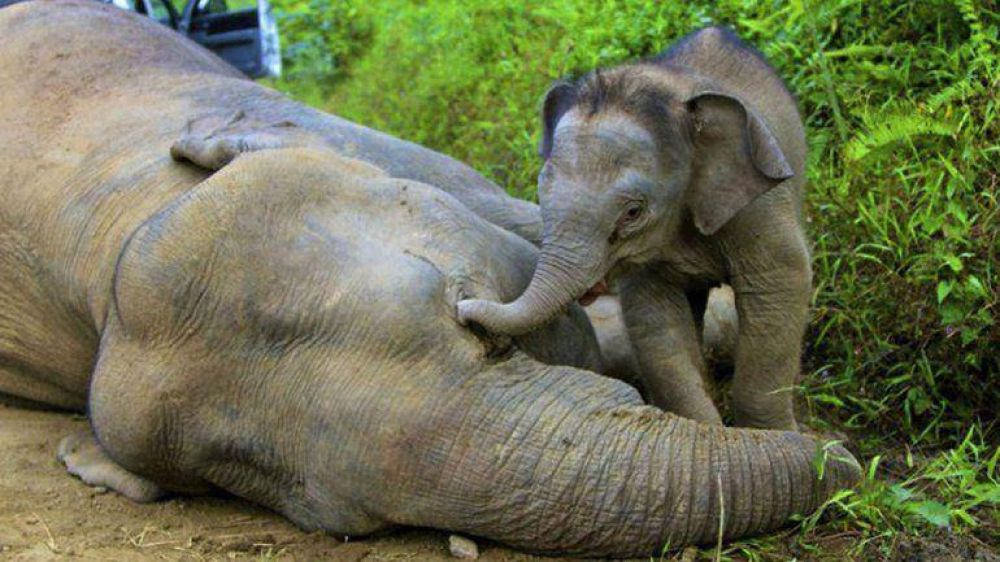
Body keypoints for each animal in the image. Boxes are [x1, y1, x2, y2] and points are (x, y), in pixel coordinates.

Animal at [458, 27, 811, 431]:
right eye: (540, 193)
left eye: (632, 212)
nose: (463, 309)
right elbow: (654, 318)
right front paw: (706, 429)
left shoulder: (757, 205)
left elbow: (780, 285)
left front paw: (776, 435)